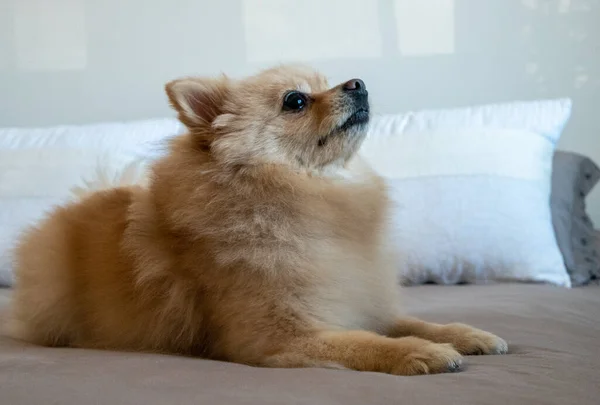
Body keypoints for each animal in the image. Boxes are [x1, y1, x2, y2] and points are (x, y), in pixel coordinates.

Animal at [9, 64, 506, 374]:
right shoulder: (282, 337)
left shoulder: (363, 300)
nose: (358, 83)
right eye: (296, 100)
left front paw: (463, 334)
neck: (313, 194)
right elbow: (365, 342)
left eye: (328, 81)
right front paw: (421, 352)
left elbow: (407, 321)